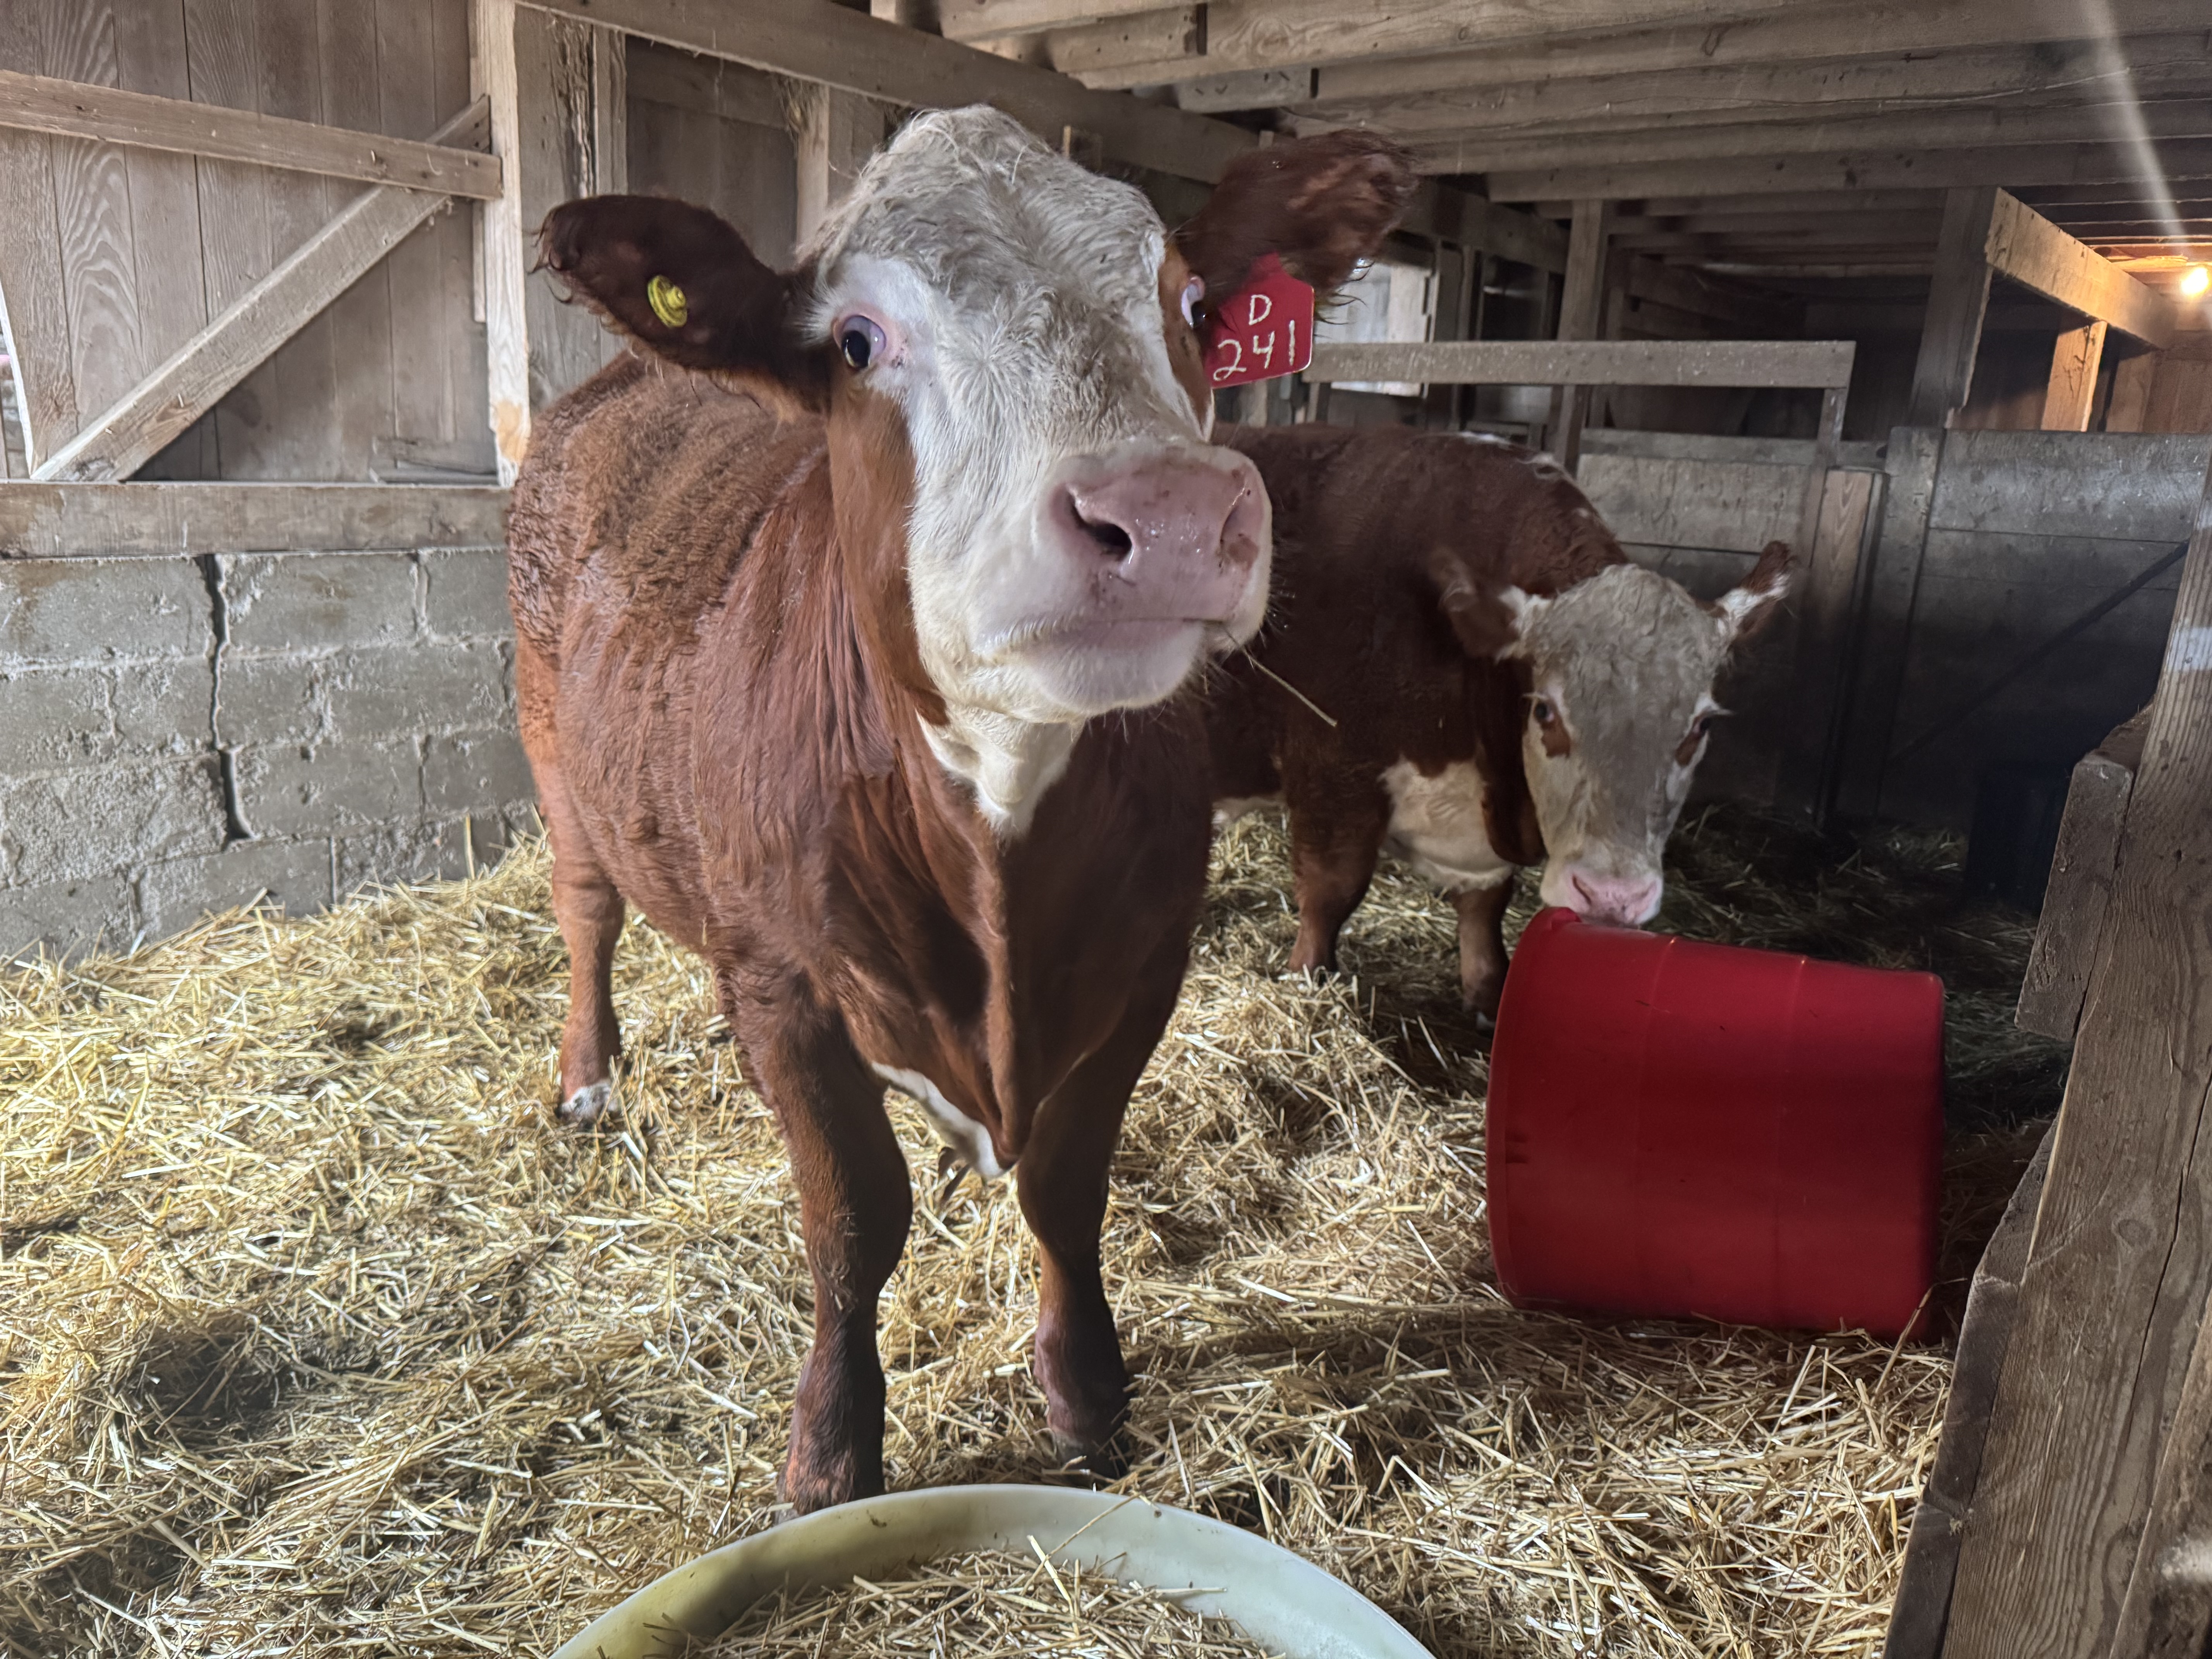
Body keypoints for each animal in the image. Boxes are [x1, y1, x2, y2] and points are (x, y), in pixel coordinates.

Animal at [505, 108, 1414, 1514]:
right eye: (856, 340)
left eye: (1194, 307)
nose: (1169, 512)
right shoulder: (782, 982)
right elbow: (850, 1219)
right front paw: (831, 1448)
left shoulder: (1146, 964)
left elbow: (1067, 1186)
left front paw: (1087, 1394)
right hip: (559, 761)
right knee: (587, 909)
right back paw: (591, 1076)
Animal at [1203, 423, 1790, 1018]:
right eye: (1545, 710)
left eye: (1701, 727)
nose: (1612, 897)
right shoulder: (1332, 769)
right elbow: (1331, 892)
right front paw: (1308, 980)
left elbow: (1486, 906)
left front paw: (1488, 991)